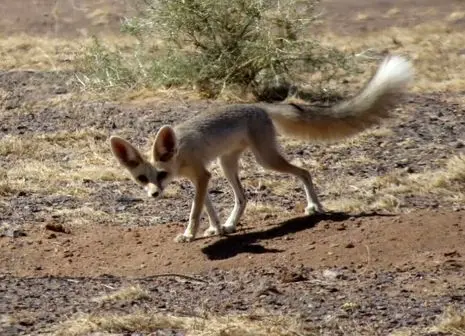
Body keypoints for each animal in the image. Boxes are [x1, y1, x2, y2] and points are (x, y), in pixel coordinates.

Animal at [109, 56, 414, 243]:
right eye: (143, 178)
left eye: (160, 174)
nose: (154, 194)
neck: (179, 153)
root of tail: (258, 106)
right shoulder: (202, 177)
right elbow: (207, 207)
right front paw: (216, 228)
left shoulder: (202, 175)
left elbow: (195, 210)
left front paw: (189, 234)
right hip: (227, 164)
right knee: (243, 197)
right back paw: (231, 224)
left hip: (265, 160)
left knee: (304, 172)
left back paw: (314, 207)